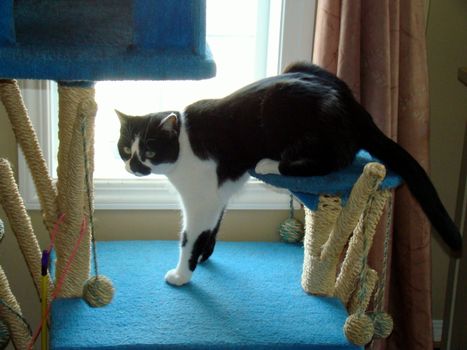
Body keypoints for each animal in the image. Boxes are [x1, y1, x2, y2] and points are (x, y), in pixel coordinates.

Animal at [116, 61, 460, 286]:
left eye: (149, 152)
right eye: (124, 149)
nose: (134, 165)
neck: (184, 143)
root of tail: (354, 107)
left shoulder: (200, 201)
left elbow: (190, 237)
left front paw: (182, 274)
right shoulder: (216, 197)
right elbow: (213, 228)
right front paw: (204, 256)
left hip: (288, 113)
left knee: (337, 158)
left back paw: (270, 164)